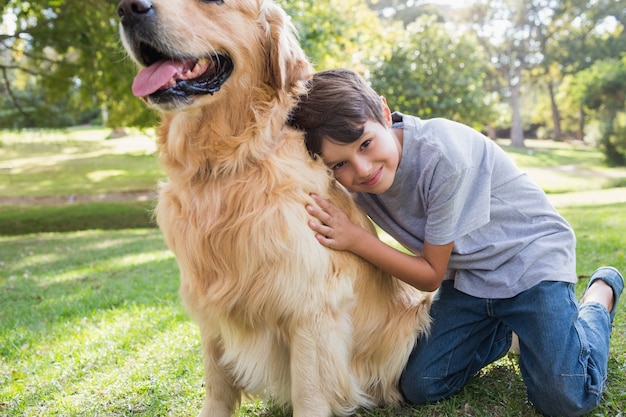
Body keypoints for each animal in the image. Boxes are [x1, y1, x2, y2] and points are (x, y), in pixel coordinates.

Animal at [116, 0, 428, 416]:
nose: (127, 8)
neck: (225, 166)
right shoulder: (209, 305)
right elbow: (217, 387)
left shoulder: (311, 307)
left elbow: (309, 394)